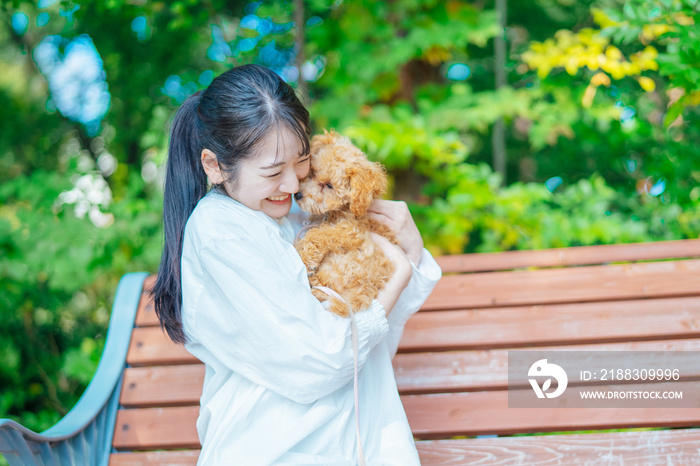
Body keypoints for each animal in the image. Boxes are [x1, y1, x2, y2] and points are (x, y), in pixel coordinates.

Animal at [292, 130, 396, 316]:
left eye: (328, 185)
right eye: (312, 172)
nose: (298, 195)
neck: (339, 210)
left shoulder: (352, 231)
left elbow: (320, 234)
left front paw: (306, 257)